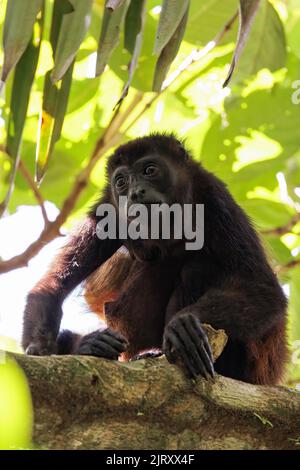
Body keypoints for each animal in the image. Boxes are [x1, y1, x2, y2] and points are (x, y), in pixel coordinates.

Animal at [21, 134, 288, 384]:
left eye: (150, 170)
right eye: (121, 182)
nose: (135, 193)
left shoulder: (215, 197)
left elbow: (264, 291)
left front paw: (182, 325)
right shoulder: (106, 210)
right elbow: (52, 285)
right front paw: (41, 348)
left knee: (198, 266)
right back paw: (101, 347)